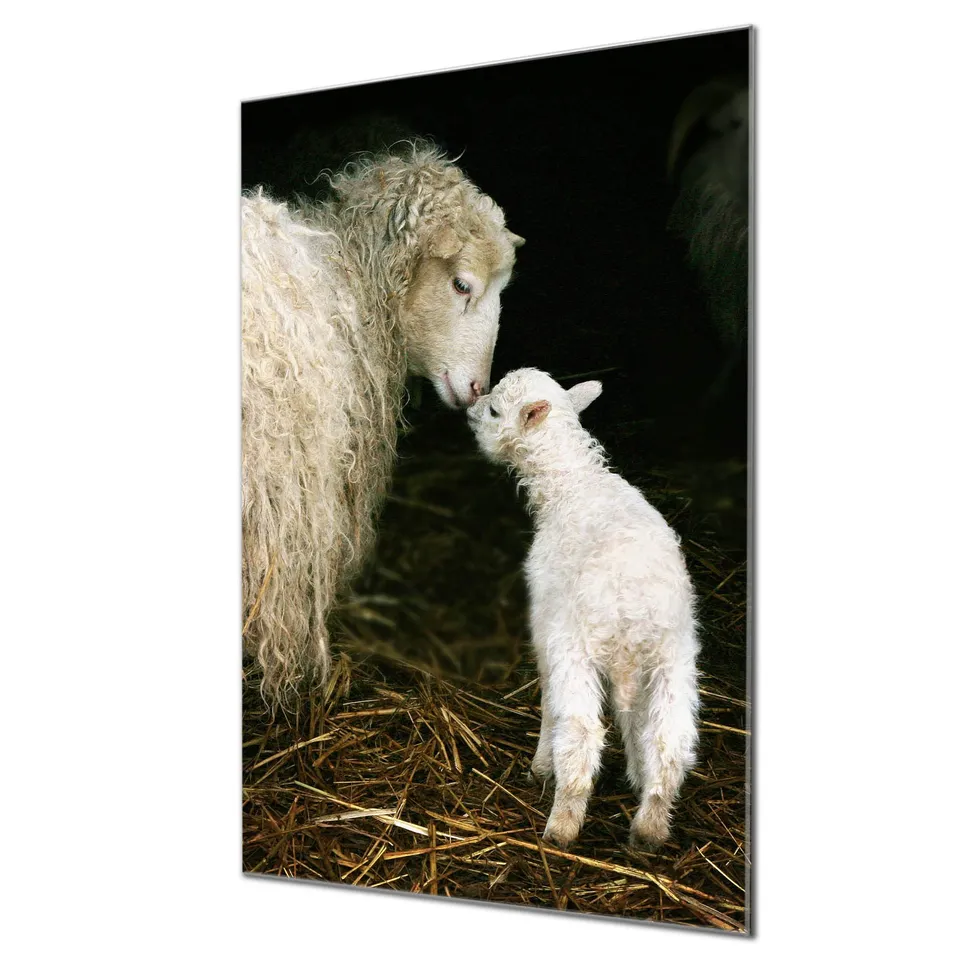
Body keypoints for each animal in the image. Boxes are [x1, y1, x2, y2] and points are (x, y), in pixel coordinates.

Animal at [467, 368, 700, 850]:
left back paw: (562, 824)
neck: (571, 483)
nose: (469, 409)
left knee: (580, 733)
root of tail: (632, 610)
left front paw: (540, 766)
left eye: (495, 410)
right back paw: (650, 826)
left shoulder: (547, 628)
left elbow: (548, 702)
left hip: (579, 646)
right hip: (674, 656)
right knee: (669, 738)